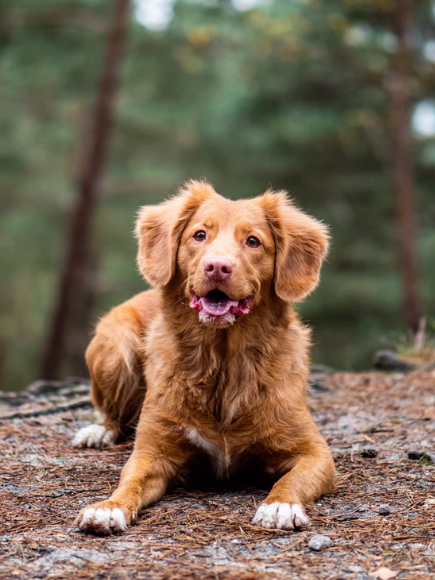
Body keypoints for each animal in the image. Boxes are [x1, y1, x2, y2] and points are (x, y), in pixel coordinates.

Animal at [73, 181, 336, 536]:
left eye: (253, 241)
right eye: (199, 235)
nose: (217, 267)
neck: (223, 363)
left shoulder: (315, 451)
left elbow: (291, 480)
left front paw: (280, 506)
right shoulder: (152, 451)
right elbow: (130, 483)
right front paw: (108, 508)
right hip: (115, 346)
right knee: (113, 415)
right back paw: (99, 431)